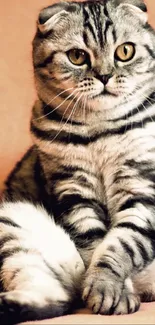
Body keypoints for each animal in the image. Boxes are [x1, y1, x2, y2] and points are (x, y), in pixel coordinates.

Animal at [0, 0, 155, 322]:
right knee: (55, 296)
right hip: (13, 220)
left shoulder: (141, 190)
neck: (100, 131)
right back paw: (11, 303)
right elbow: (96, 244)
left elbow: (121, 243)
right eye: (77, 56)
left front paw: (106, 288)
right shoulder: (73, 191)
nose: (105, 76)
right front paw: (112, 293)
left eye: (125, 51)